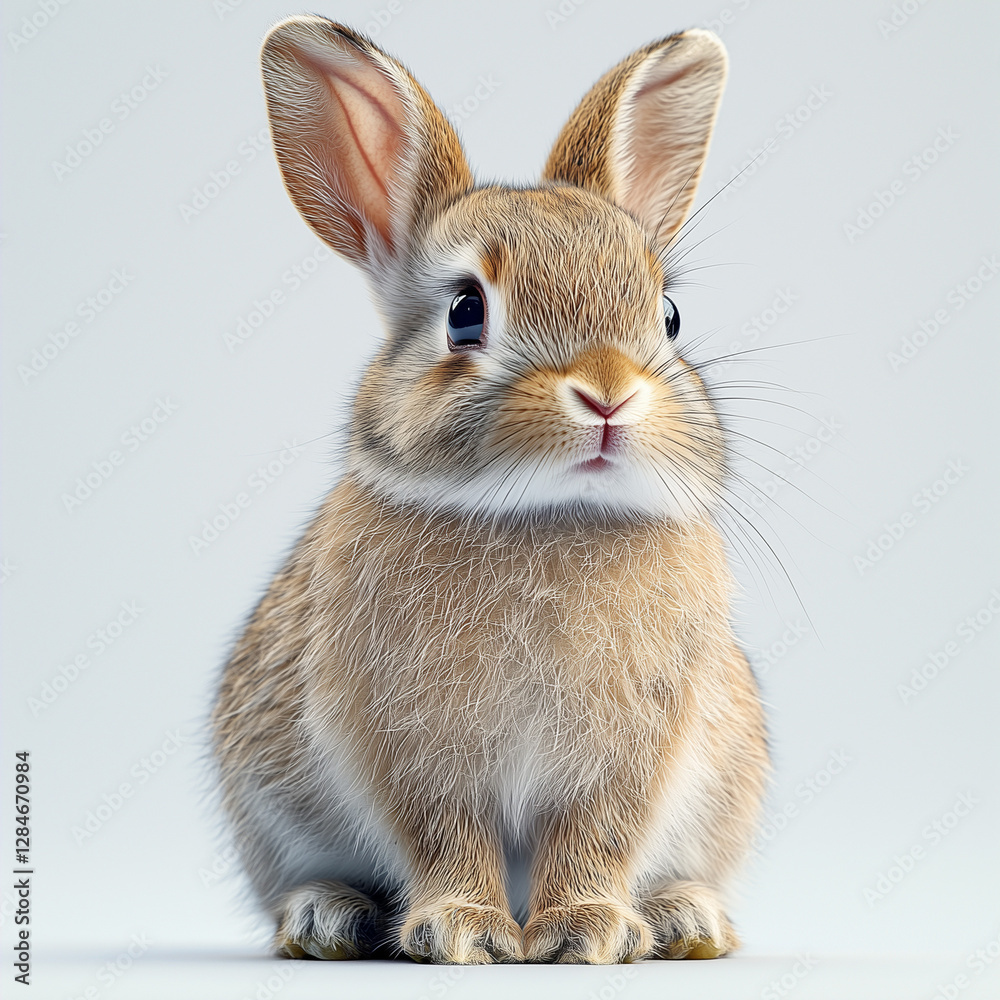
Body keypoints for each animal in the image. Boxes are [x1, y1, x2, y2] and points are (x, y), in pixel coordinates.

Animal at [211, 15, 768, 965]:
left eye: (668, 316)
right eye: (465, 312)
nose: (608, 393)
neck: (546, 515)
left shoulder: (630, 750)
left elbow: (596, 832)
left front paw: (586, 930)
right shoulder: (414, 746)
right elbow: (443, 831)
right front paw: (466, 930)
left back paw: (683, 919)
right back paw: (327, 918)